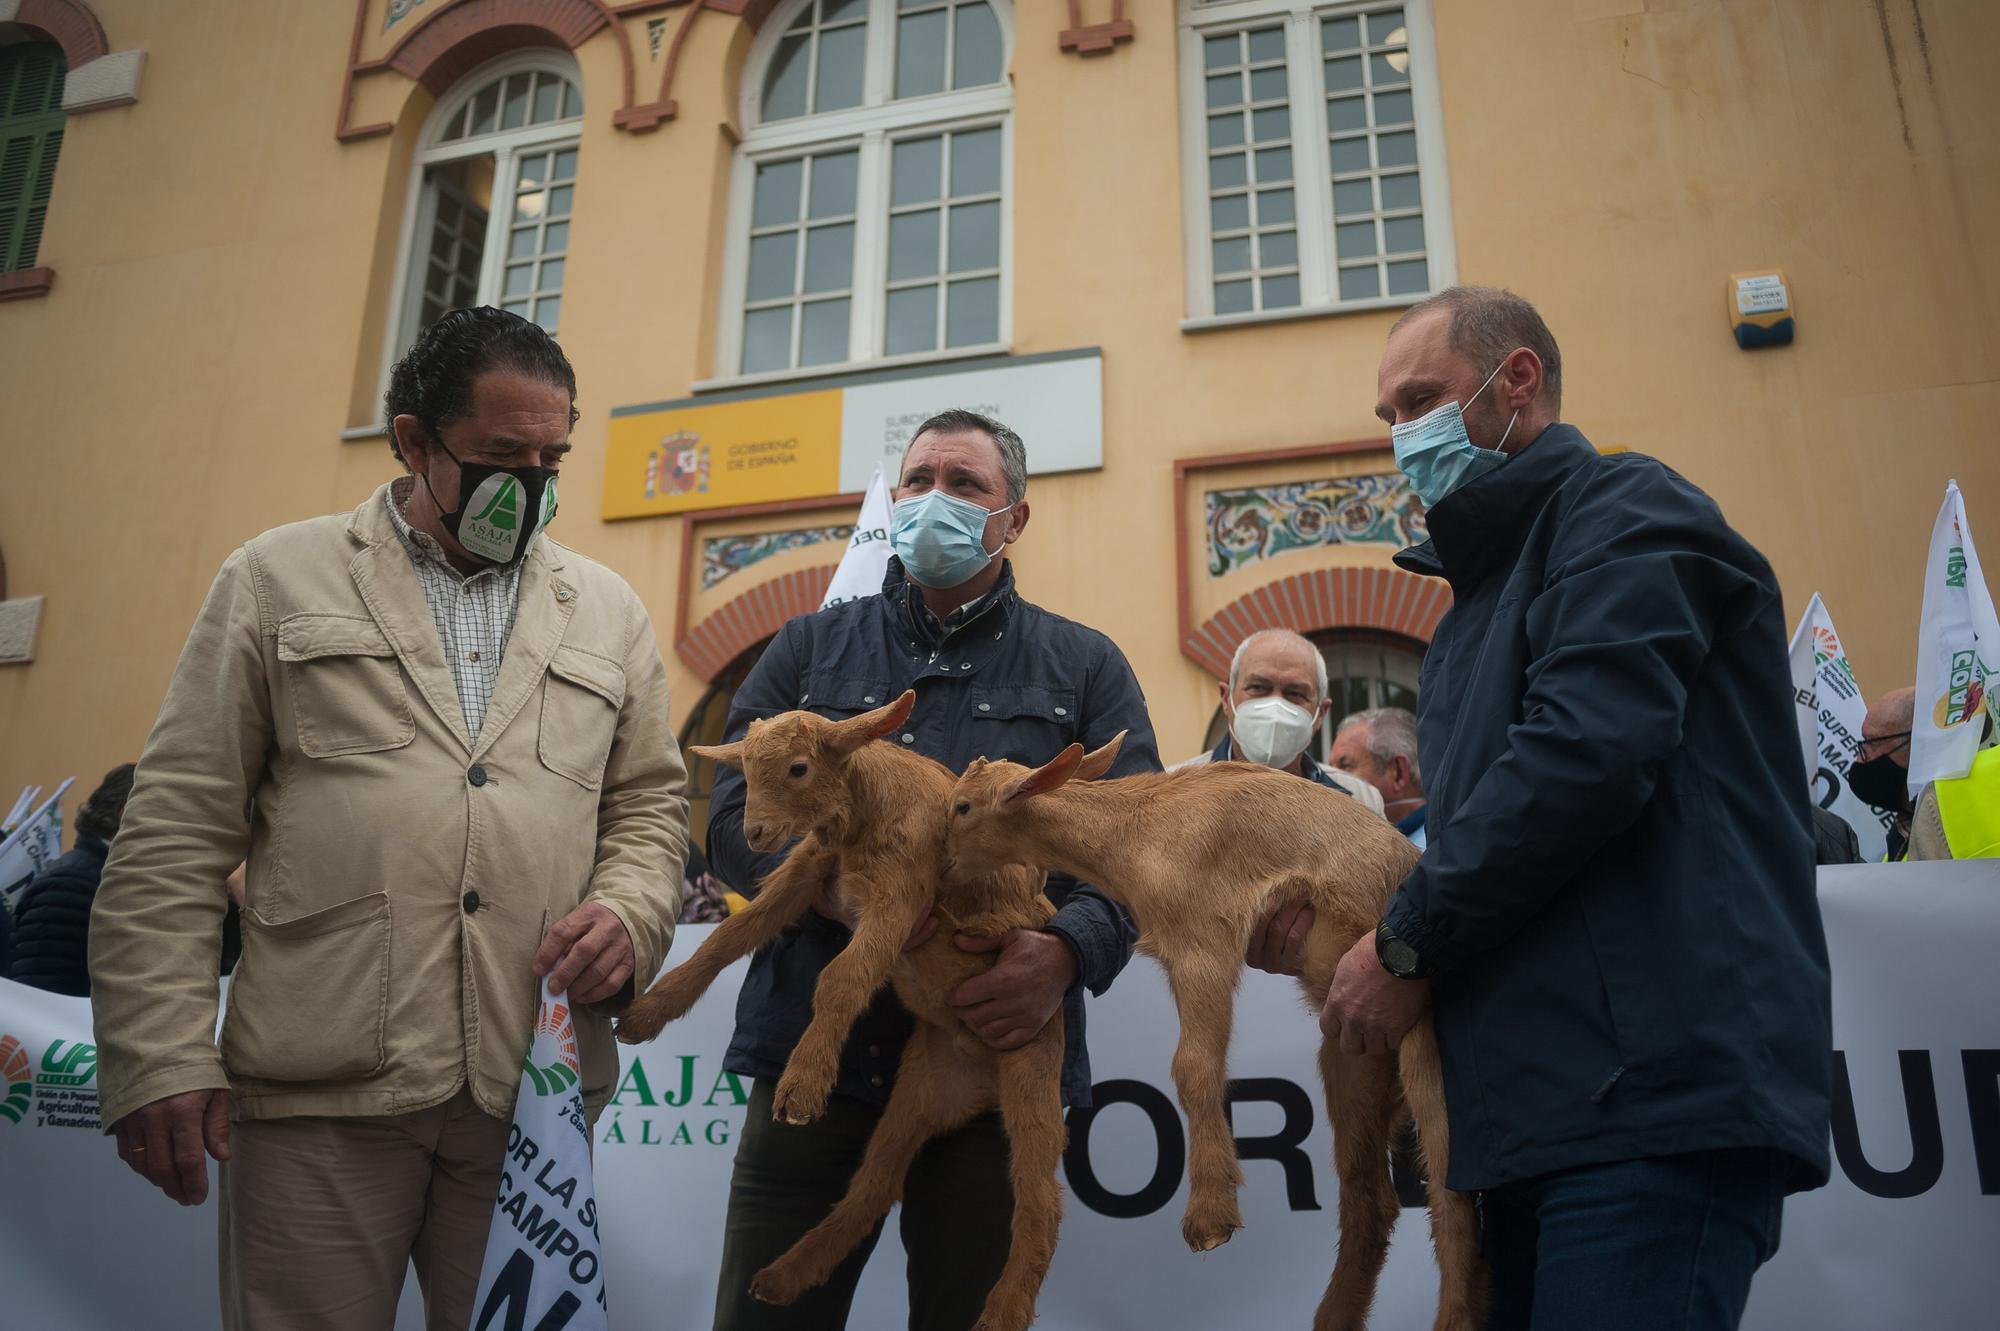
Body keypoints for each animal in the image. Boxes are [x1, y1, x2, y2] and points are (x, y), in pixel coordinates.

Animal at [616, 695, 1072, 1327]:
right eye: (746, 770)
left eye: (798, 768)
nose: (756, 833)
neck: (864, 813)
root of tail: (975, 1082)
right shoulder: (809, 868)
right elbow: (729, 938)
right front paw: (648, 1013)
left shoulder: (899, 901)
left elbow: (841, 979)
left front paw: (803, 1086)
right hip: (917, 1093)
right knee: (874, 1183)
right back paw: (785, 1275)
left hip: (1032, 1069)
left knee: (1040, 1202)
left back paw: (1002, 1312)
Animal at [940, 735, 1488, 1327]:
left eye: (962, 807)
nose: (940, 866)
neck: (1138, 830)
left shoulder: (1204, 944)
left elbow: (1194, 1068)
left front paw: (1210, 1215)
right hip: (1353, 1053)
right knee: (1371, 1198)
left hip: (1422, 1035)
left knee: (1451, 1188)